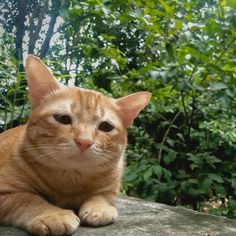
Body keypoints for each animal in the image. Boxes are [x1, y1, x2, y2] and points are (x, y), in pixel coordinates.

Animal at [0, 55, 151, 234]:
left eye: (106, 127)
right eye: (63, 119)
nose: (84, 141)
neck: (71, 180)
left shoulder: (111, 188)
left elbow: (102, 196)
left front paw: (100, 207)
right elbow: (27, 199)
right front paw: (53, 214)